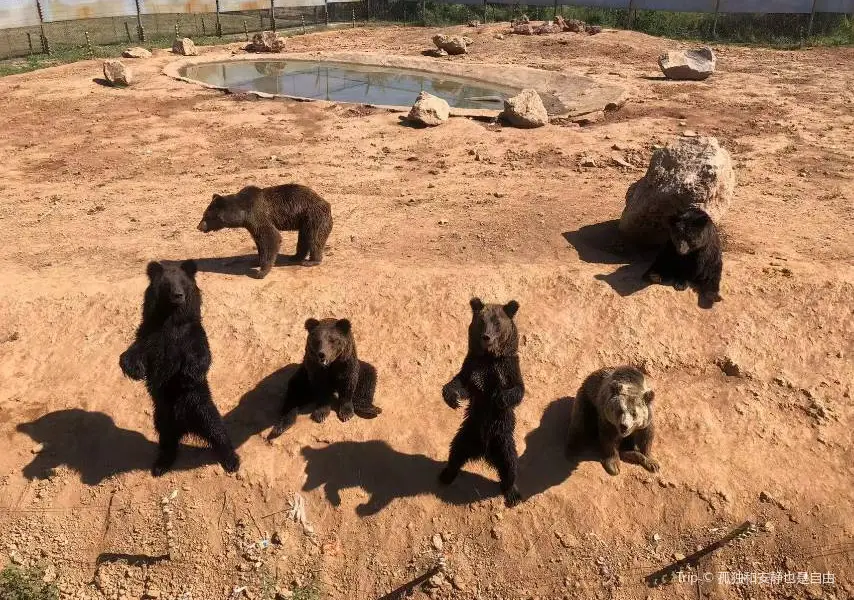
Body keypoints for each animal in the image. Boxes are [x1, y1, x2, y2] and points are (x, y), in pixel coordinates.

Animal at [118, 260, 239, 476]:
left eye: (183, 283)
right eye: (167, 284)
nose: (178, 295)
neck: (170, 319)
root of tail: (185, 427)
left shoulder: (190, 334)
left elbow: (201, 356)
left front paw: (186, 375)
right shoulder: (151, 334)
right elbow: (136, 349)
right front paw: (134, 369)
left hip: (200, 406)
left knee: (217, 430)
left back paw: (231, 460)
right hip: (162, 416)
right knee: (167, 441)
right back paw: (160, 465)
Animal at [198, 184, 334, 280]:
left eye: (206, 216)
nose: (199, 227)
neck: (243, 213)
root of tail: (326, 203)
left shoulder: (258, 216)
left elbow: (271, 238)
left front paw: (260, 272)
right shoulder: (251, 225)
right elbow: (259, 241)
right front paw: (256, 260)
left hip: (313, 216)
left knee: (315, 238)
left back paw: (311, 261)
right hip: (304, 221)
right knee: (303, 238)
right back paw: (295, 256)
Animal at [442, 298, 528, 506]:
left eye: (497, 322)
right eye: (481, 321)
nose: (486, 337)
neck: (490, 357)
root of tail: (484, 451)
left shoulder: (507, 368)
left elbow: (517, 390)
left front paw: (500, 398)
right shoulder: (473, 365)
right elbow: (461, 383)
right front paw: (451, 398)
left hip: (502, 439)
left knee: (510, 464)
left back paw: (512, 494)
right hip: (468, 432)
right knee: (456, 452)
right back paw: (446, 474)